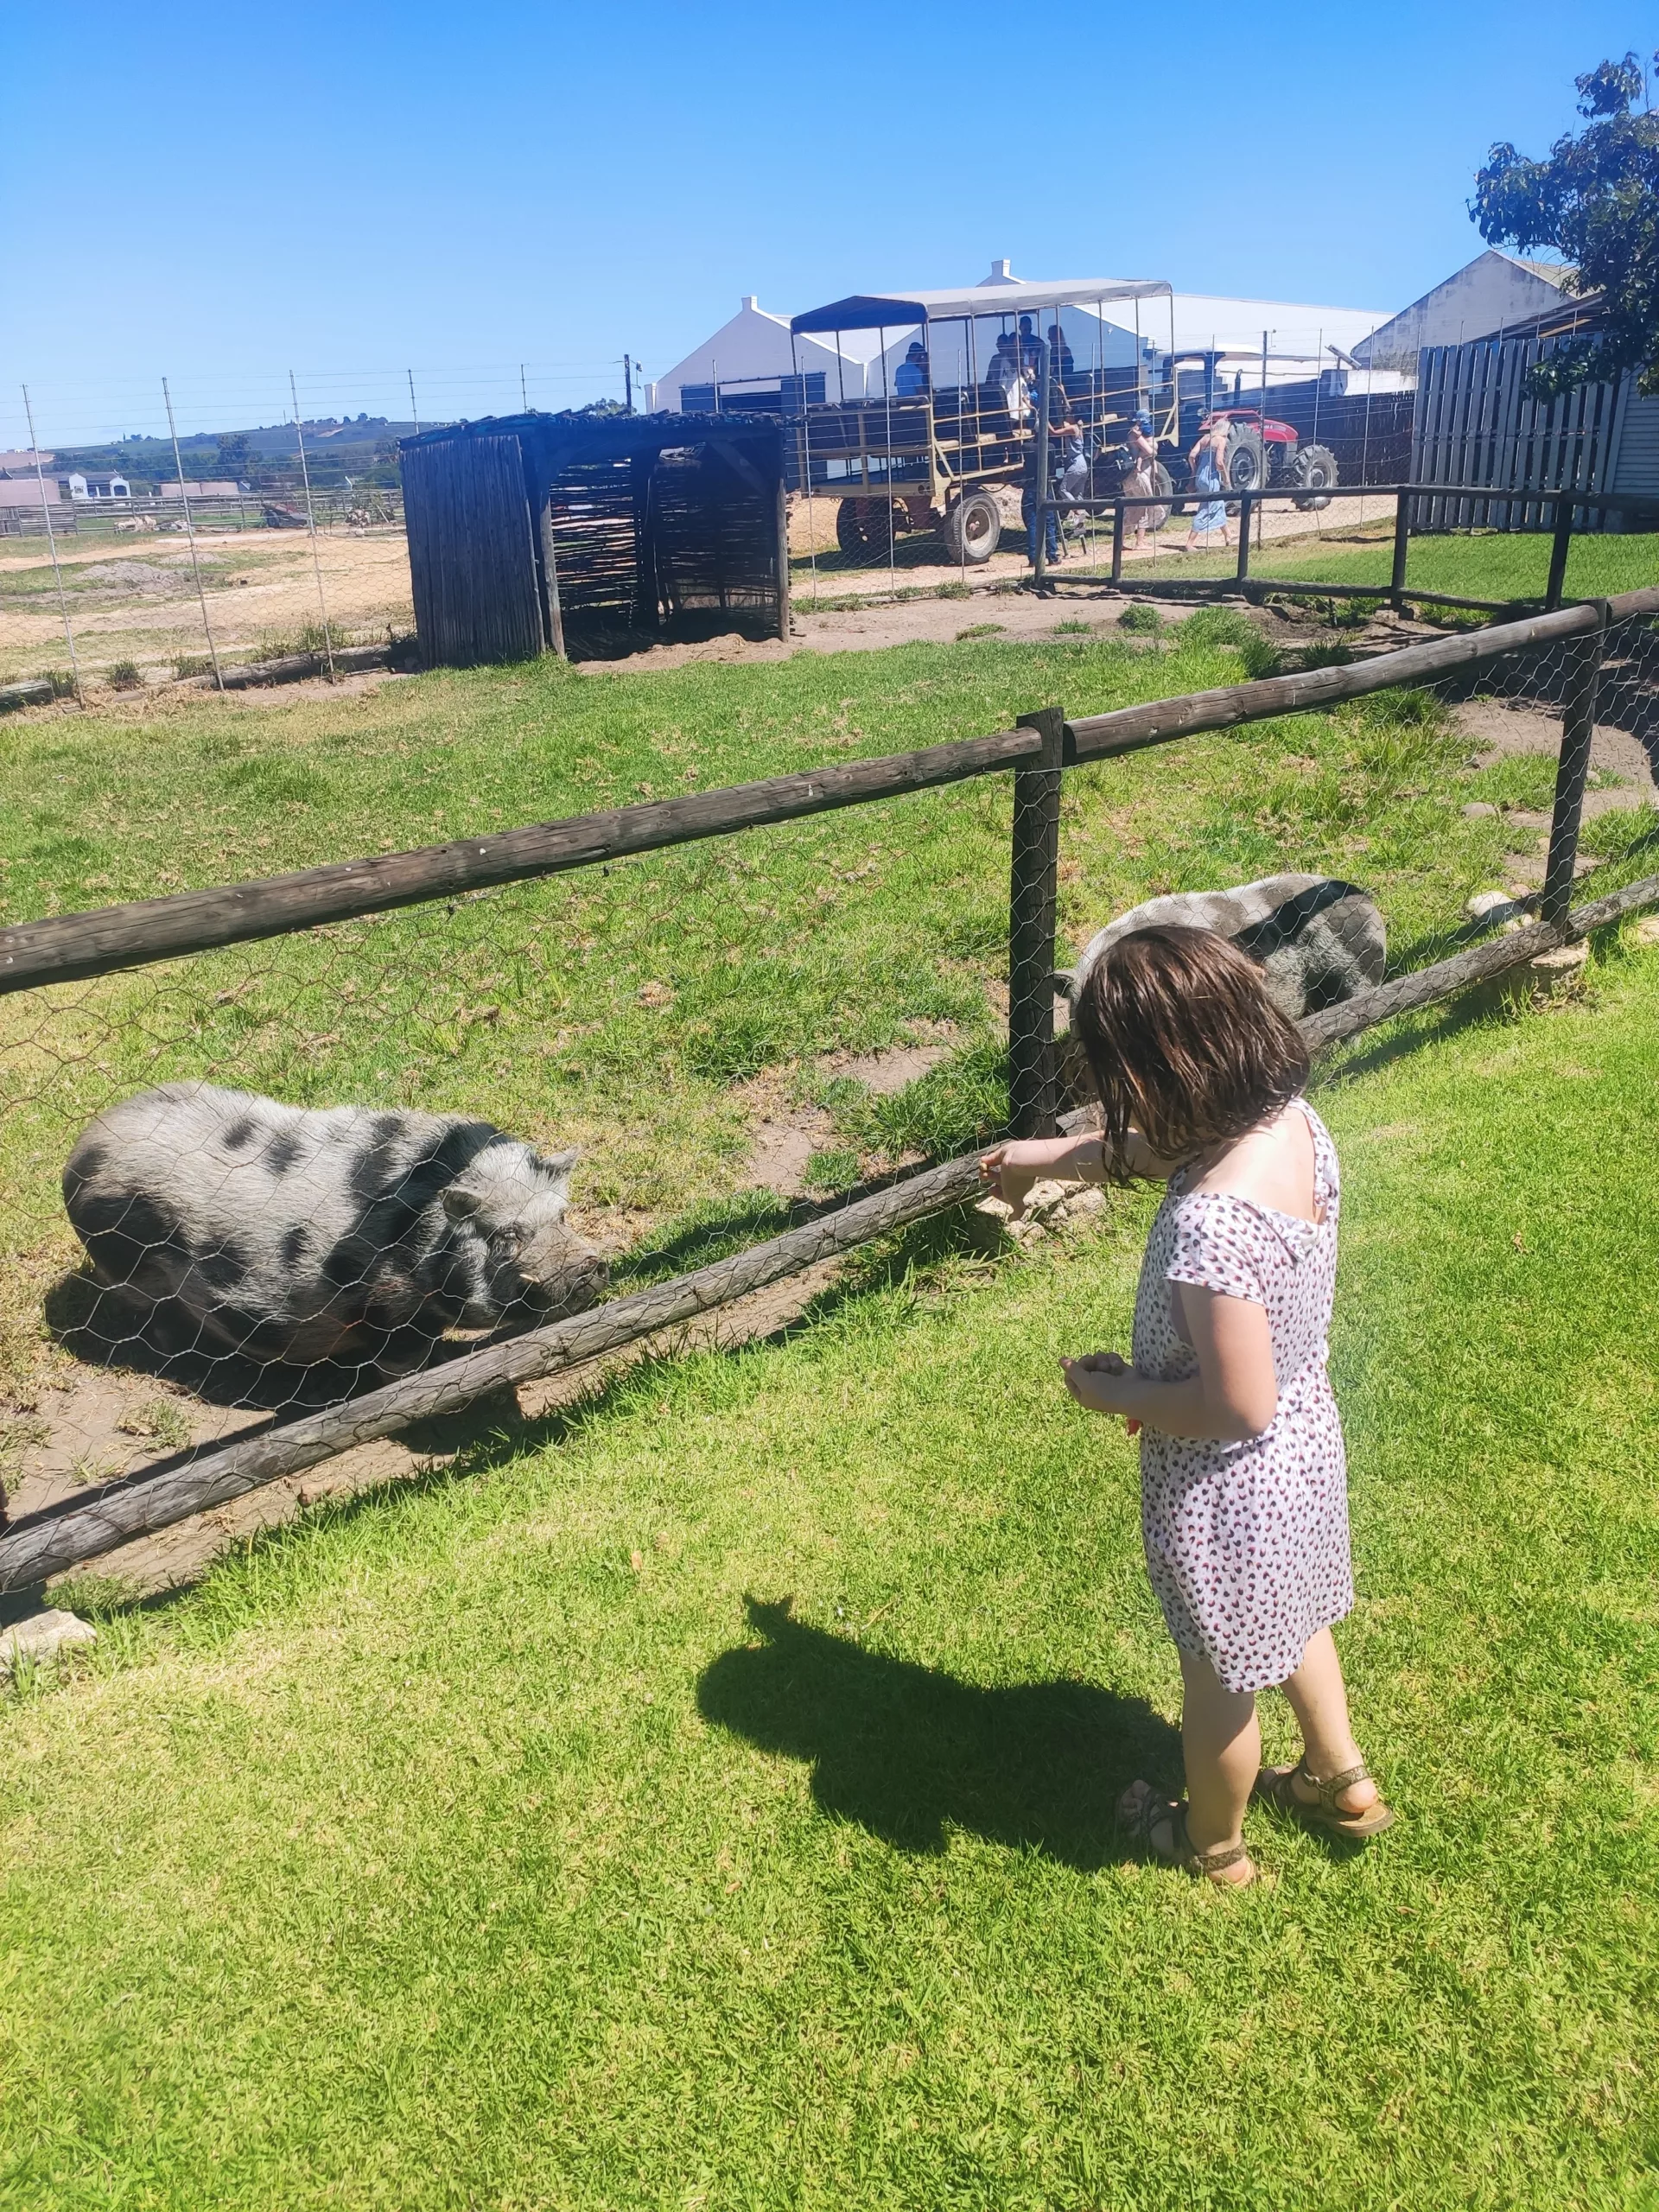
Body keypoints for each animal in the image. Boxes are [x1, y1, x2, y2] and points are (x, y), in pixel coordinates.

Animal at [67, 1084, 610, 1371]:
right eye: (506, 1237)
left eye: (561, 1215)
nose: (586, 1265)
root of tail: (82, 1150)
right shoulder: (384, 1307)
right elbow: (403, 1361)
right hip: (125, 1269)